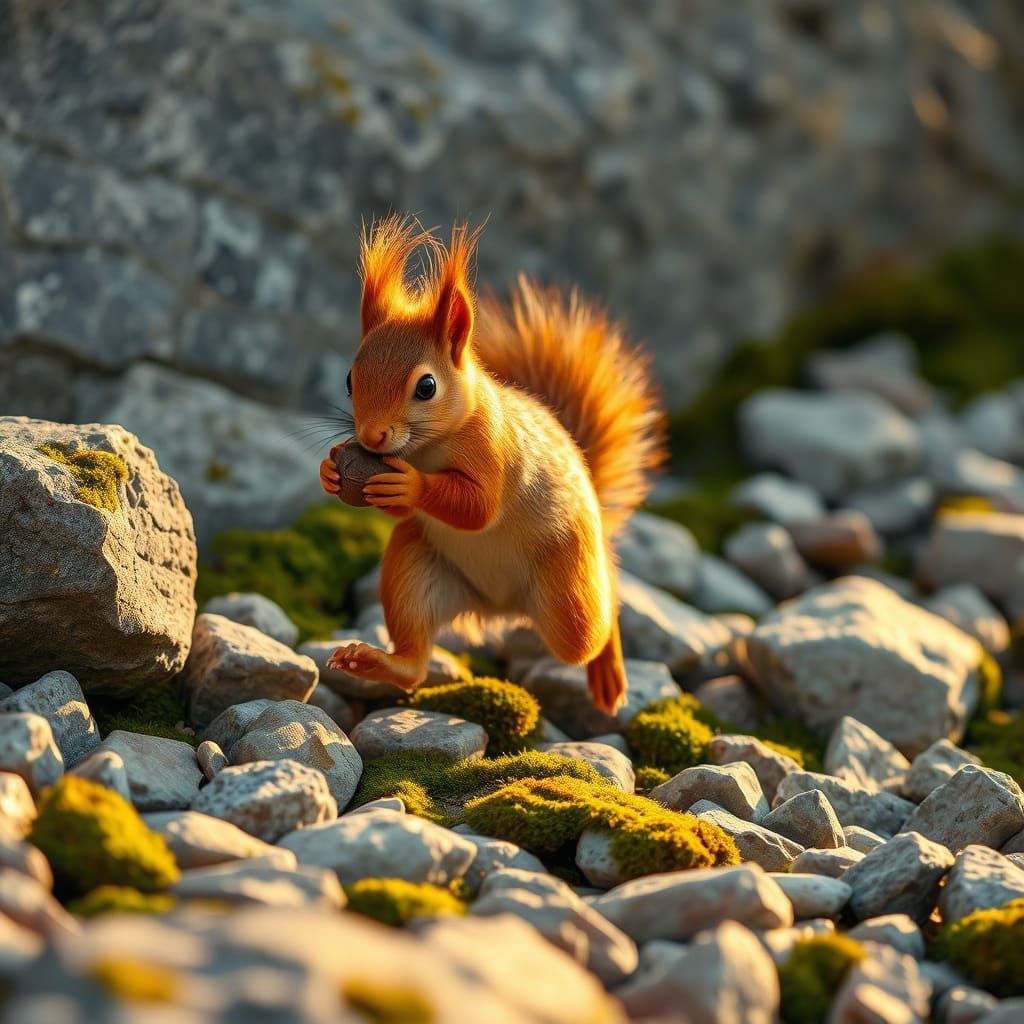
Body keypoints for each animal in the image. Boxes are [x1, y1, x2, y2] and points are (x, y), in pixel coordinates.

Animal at [319, 217, 665, 713]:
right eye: (350, 379)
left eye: (426, 386)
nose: (370, 437)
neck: (430, 447)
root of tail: (500, 610)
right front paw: (332, 471)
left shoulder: (493, 451)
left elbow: (478, 508)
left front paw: (411, 486)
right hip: (416, 566)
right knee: (415, 658)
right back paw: (375, 663)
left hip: (568, 596)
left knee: (593, 626)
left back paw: (607, 667)